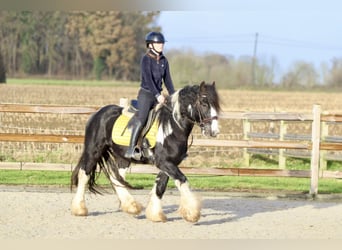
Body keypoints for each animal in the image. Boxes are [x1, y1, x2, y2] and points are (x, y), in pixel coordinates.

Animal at [71, 80, 222, 223]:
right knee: (84, 174)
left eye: (216, 105)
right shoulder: (164, 162)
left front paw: (156, 215)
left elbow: (160, 187)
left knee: (116, 179)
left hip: (123, 158)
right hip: (93, 150)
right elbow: (182, 180)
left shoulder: (169, 163)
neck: (173, 126)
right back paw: (79, 209)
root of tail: (97, 113)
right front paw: (192, 214)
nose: (214, 132)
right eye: (204, 103)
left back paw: (131, 207)